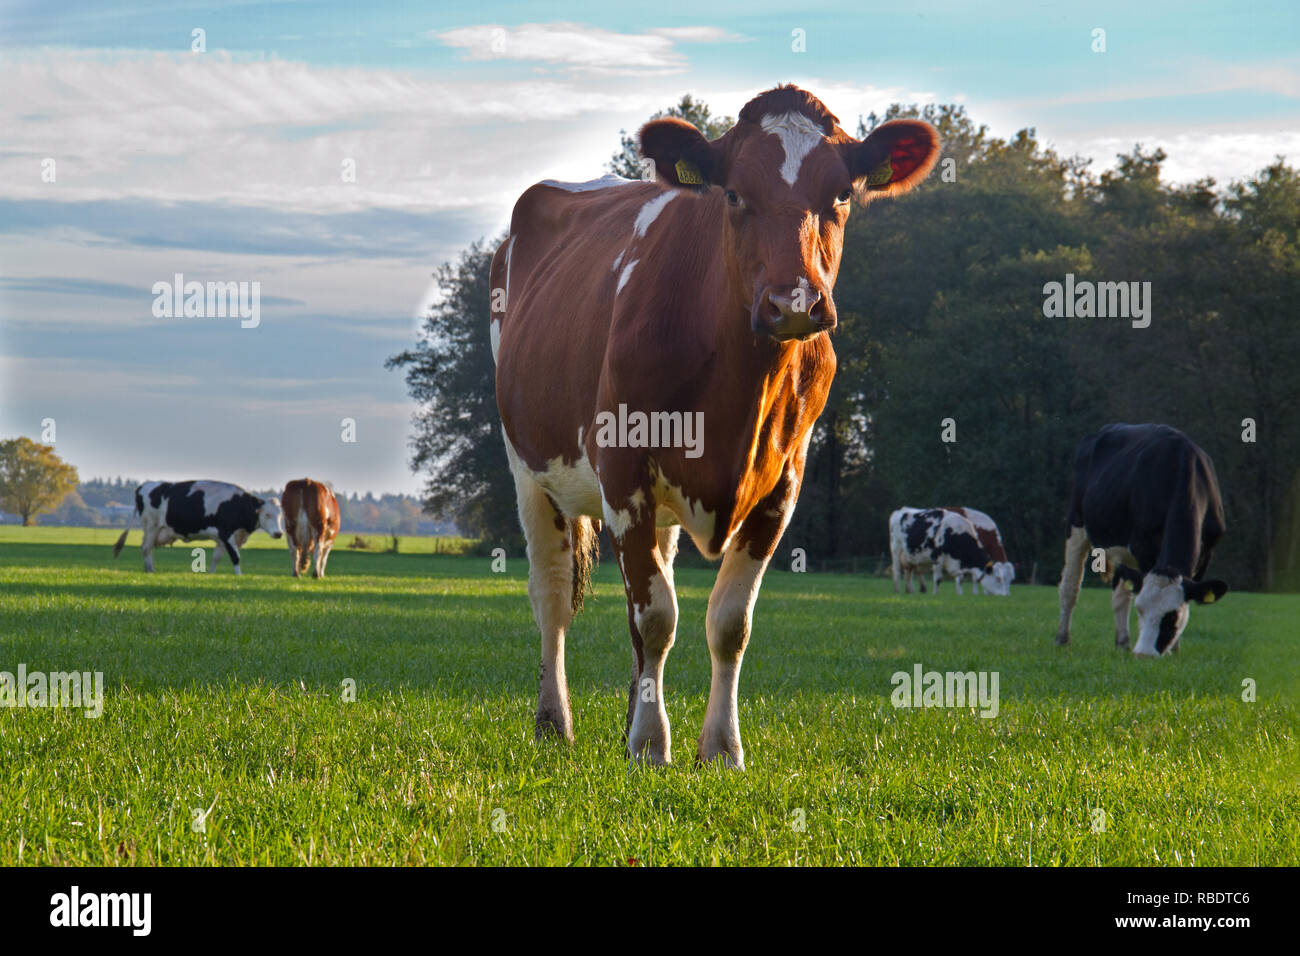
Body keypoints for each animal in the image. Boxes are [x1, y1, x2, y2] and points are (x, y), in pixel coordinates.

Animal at [112, 480, 283, 574]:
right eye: (267, 514)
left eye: (280, 515)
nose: (279, 533)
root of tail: (145, 485)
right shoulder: (226, 533)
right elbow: (235, 557)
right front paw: (239, 575)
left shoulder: (223, 539)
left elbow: (216, 558)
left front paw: (212, 573)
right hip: (151, 526)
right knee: (146, 548)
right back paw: (151, 570)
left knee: (146, 548)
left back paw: (148, 569)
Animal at [492, 85, 940, 767]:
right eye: (733, 193)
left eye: (841, 194)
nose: (793, 304)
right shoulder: (622, 466)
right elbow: (656, 617)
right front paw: (652, 746)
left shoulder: (784, 481)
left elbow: (727, 622)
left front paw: (719, 747)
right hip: (530, 471)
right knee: (553, 598)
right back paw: (554, 723)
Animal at [1054, 424, 1228, 657]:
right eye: (1141, 610)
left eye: (1172, 616)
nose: (1144, 654)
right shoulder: (1143, 548)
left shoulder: (1207, 551)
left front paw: (1175, 651)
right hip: (1076, 525)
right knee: (1070, 587)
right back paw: (1063, 639)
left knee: (1120, 594)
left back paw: (1123, 643)